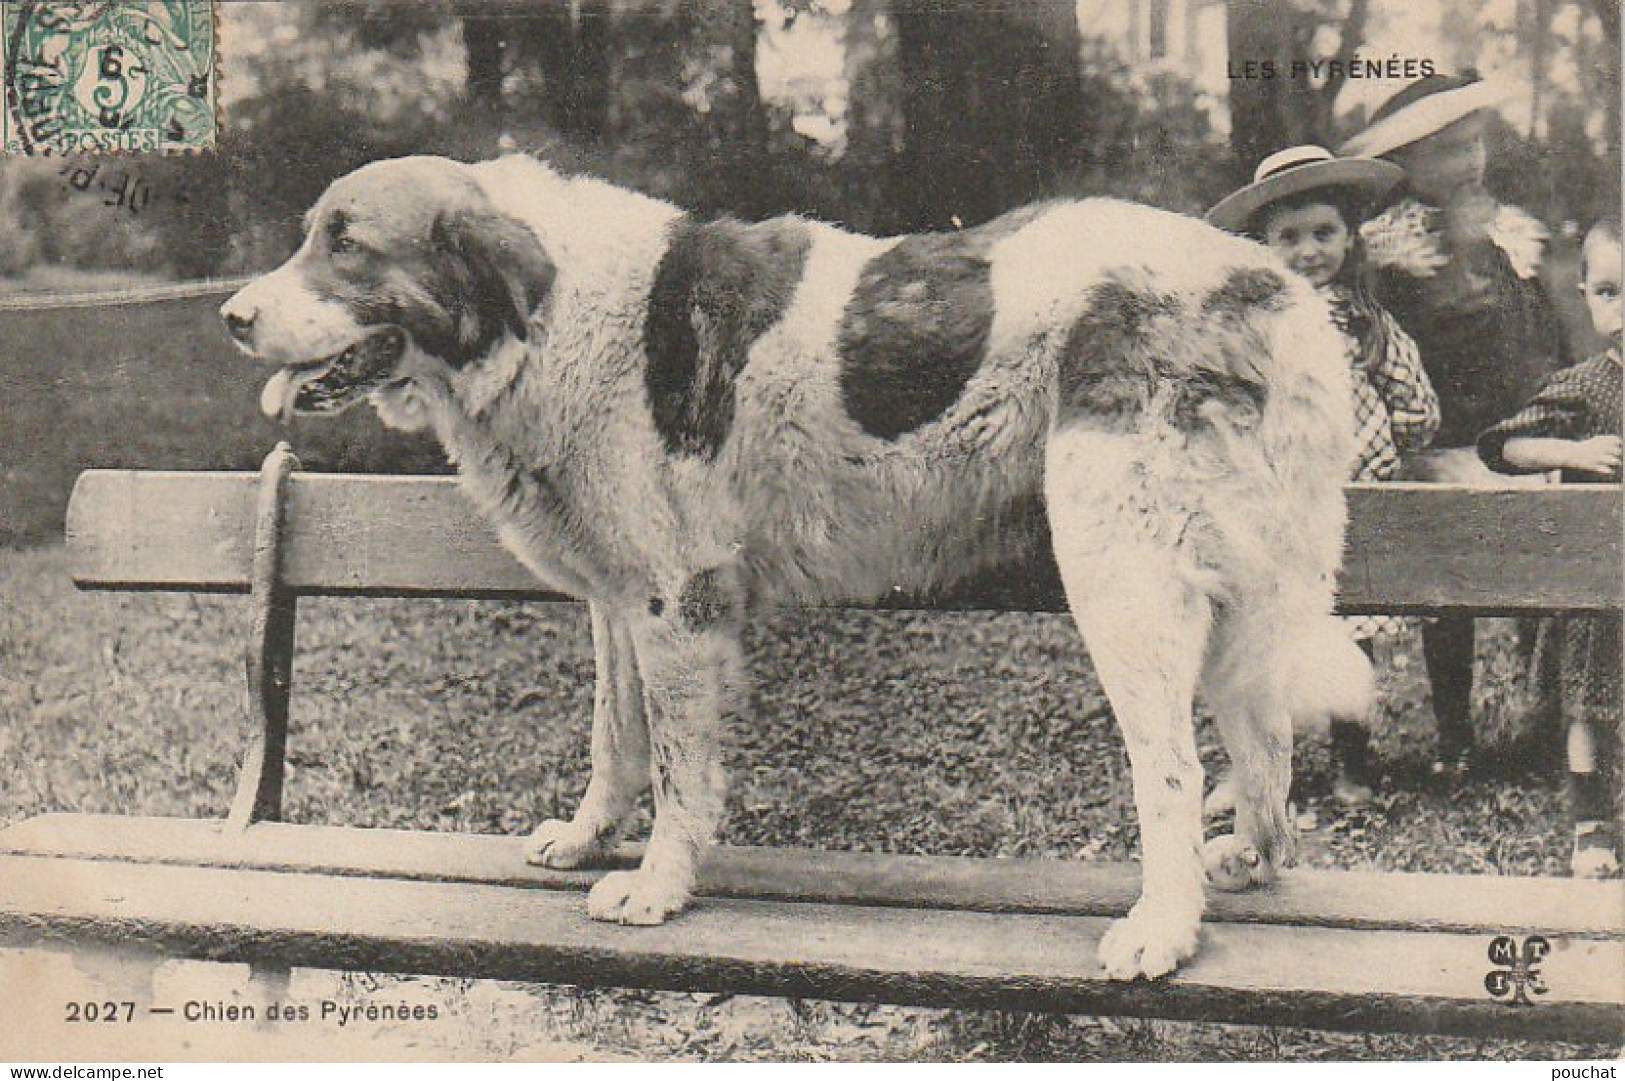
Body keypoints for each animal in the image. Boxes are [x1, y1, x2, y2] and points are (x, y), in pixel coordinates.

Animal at [222, 153, 1371, 975]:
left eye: (347, 246)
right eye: (311, 237)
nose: (232, 317)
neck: (548, 317)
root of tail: (1270, 286)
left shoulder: (674, 604)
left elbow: (678, 766)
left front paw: (657, 887)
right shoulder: (618, 602)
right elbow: (613, 738)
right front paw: (589, 837)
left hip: (1121, 577)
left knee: (1169, 769)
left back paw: (1163, 927)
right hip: (1231, 596)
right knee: (1265, 744)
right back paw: (1248, 863)